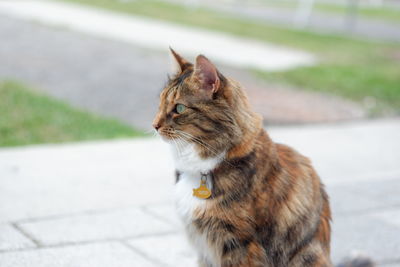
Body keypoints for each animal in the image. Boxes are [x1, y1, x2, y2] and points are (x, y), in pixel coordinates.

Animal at [152, 48, 372, 267]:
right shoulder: (205, 250)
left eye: (179, 108)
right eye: (160, 103)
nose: (154, 125)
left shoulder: (241, 244)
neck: (204, 167)